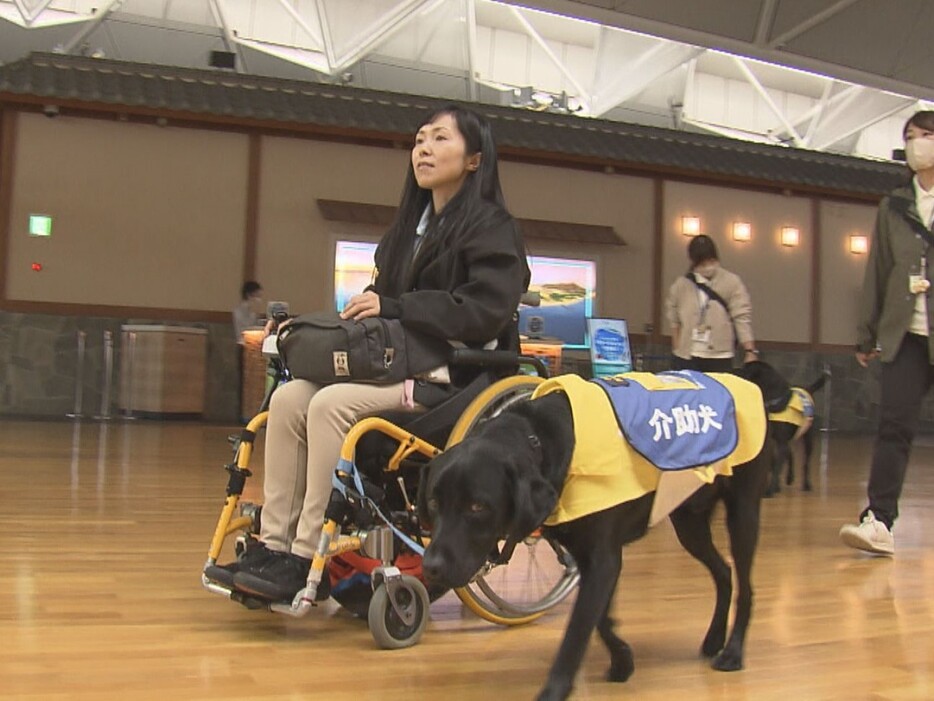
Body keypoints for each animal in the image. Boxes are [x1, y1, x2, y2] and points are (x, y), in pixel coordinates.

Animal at [420, 382, 772, 700]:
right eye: (434, 502)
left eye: (477, 507)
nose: (430, 567)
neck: (539, 440)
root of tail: (751, 385)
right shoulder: (591, 559)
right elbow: (600, 618)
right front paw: (622, 659)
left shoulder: (603, 559)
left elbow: (577, 631)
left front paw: (554, 690)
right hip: (689, 525)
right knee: (724, 572)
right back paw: (714, 638)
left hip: (742, 516)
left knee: (745, 586)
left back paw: (733, 651)